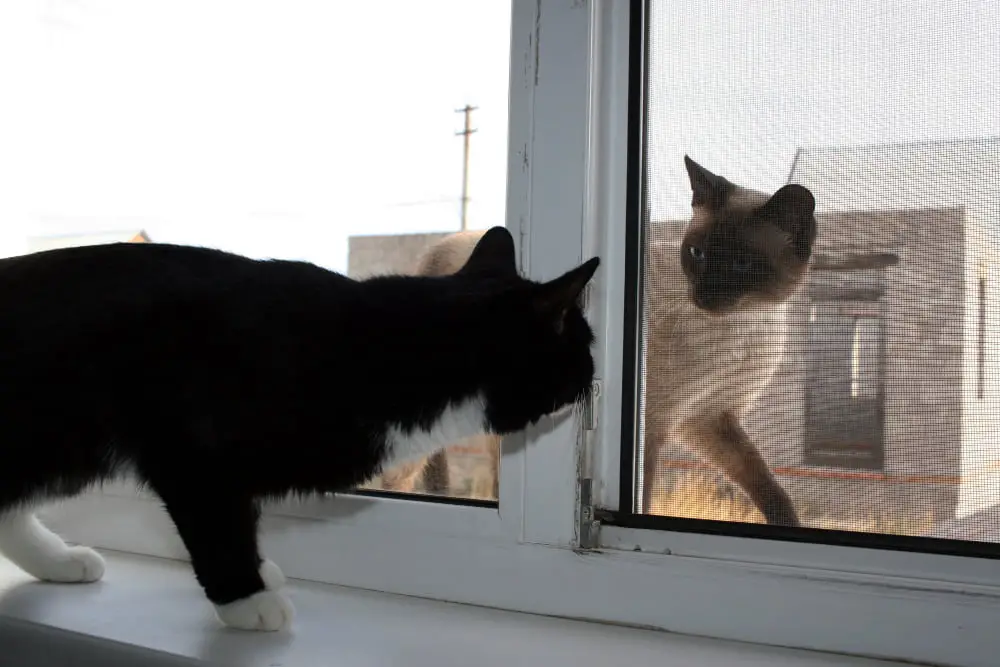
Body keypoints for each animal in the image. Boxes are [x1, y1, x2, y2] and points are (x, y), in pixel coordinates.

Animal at [644, 157, 816, 528]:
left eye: (742, 264)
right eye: (697, 253)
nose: (704, 296)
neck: (739, 327)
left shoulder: (709, 416)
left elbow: (767, 485)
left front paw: (791, 527)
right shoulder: (656, 421)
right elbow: (643, 495)